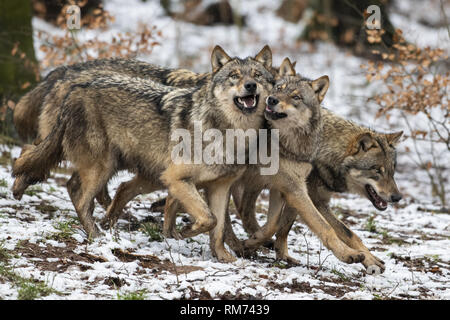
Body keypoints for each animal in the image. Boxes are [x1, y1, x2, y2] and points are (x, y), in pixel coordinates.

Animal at [12, 46, 274, 262]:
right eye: (234, 76)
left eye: (257, 76)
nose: (251, 86)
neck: (231, 133)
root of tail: (72, 85)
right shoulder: (176, 179)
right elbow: (209, 218)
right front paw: (184, 232)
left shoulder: (219, 187)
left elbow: (217, 226)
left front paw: (224, 257)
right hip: (105, 167)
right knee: (74, 193)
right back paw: (97, 235)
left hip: (126, 170)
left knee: (76, 183)